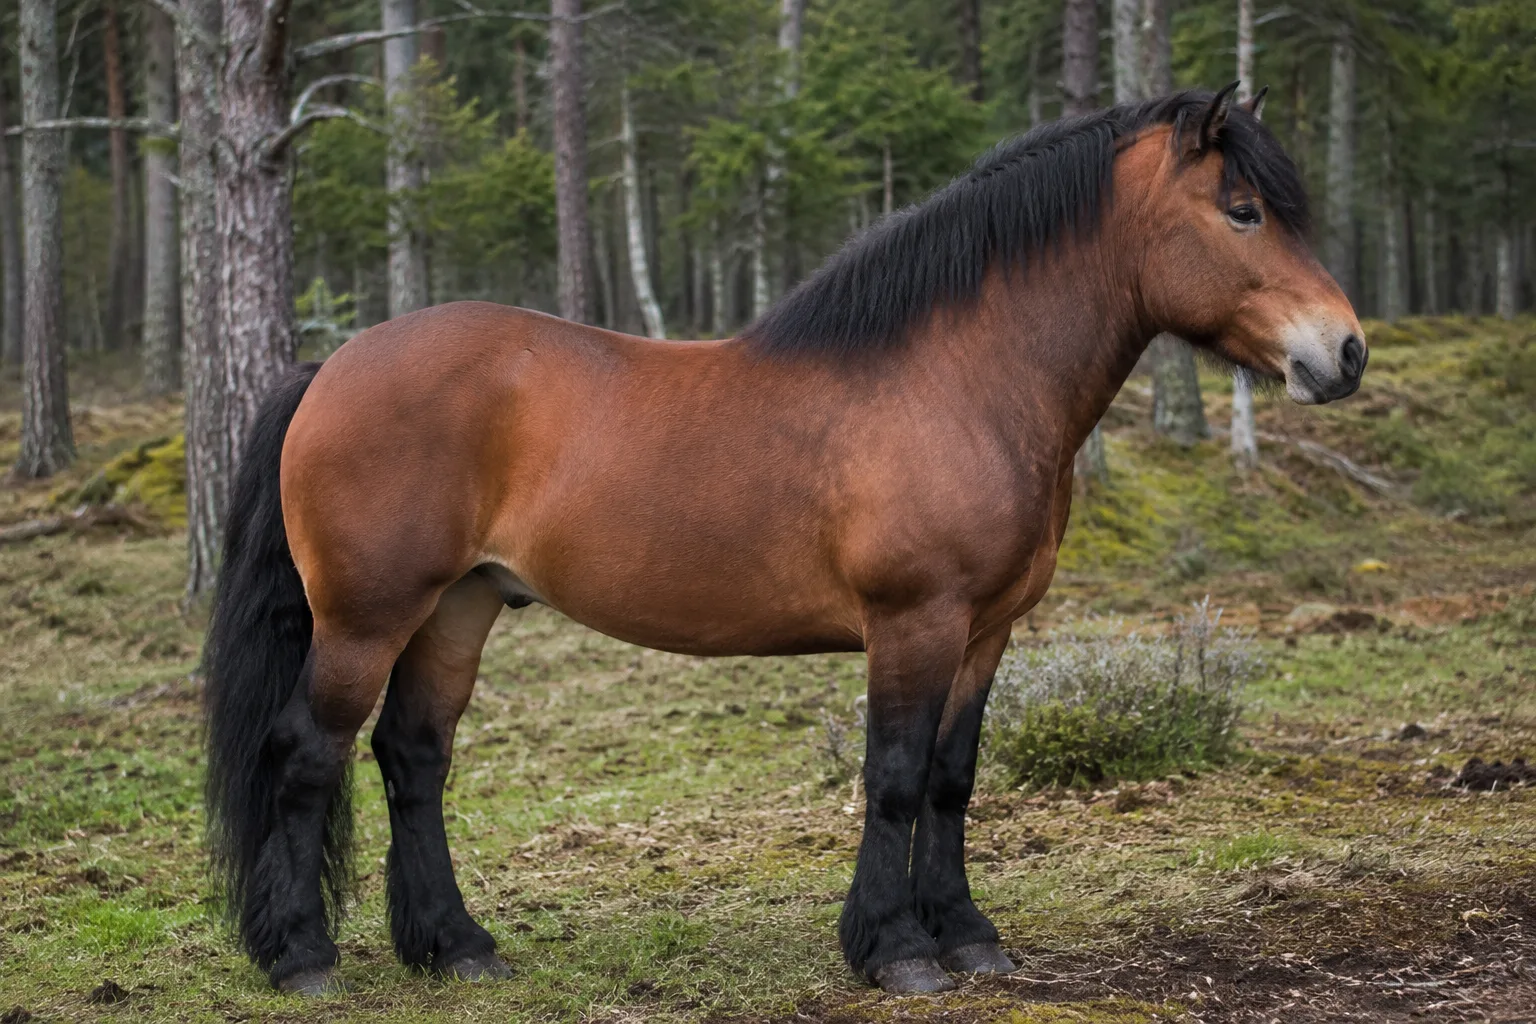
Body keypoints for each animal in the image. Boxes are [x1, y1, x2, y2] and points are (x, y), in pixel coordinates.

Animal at [202, 85, 1365, 997]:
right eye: (1244, 211)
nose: (1345, 353)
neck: (961, 381)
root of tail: (332, 365)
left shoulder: (986, 631)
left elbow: (952, 777)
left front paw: (968, 935)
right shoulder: (915, 622)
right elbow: (893, 775)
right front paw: (896, 950)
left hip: (460, 606)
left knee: (414, 756)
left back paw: (457, 947)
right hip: (367, 617)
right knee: (307, 754)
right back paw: (301, 957)